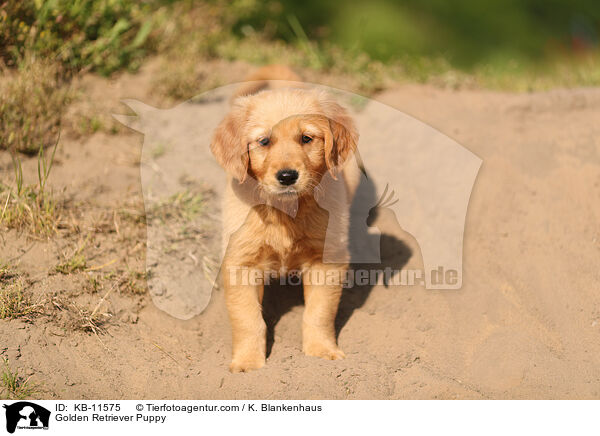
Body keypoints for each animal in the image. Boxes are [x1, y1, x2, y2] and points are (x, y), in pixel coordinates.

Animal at [211, 84, 358, 372]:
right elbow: (248, 320)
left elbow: (319, 313)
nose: (288, 176)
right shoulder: (241, 262)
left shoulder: (327, 260)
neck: (285, 212)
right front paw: (248, 364)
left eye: (306, 138)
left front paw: (321, 352)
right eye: (264, 141)